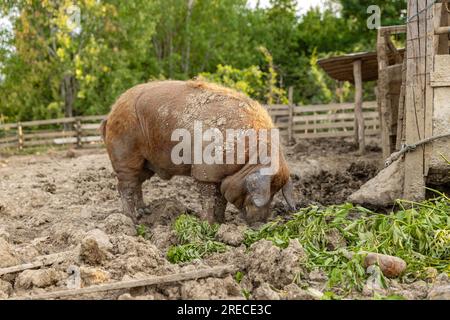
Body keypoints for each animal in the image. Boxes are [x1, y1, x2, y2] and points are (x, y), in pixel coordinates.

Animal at [100, 80, 296, 225]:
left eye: (275, 193)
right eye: (265, 194)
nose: (261, 225)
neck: (246, 160)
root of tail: (111, 113)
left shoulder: (220, 176)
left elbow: (221, 200)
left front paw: (221, 223)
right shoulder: (205, 171)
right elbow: (208, 199)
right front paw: (207, 224)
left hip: (146, 163)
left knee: (137, 184)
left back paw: (145, 212)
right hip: (125, 154)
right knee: (125, 187)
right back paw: (132, 221)